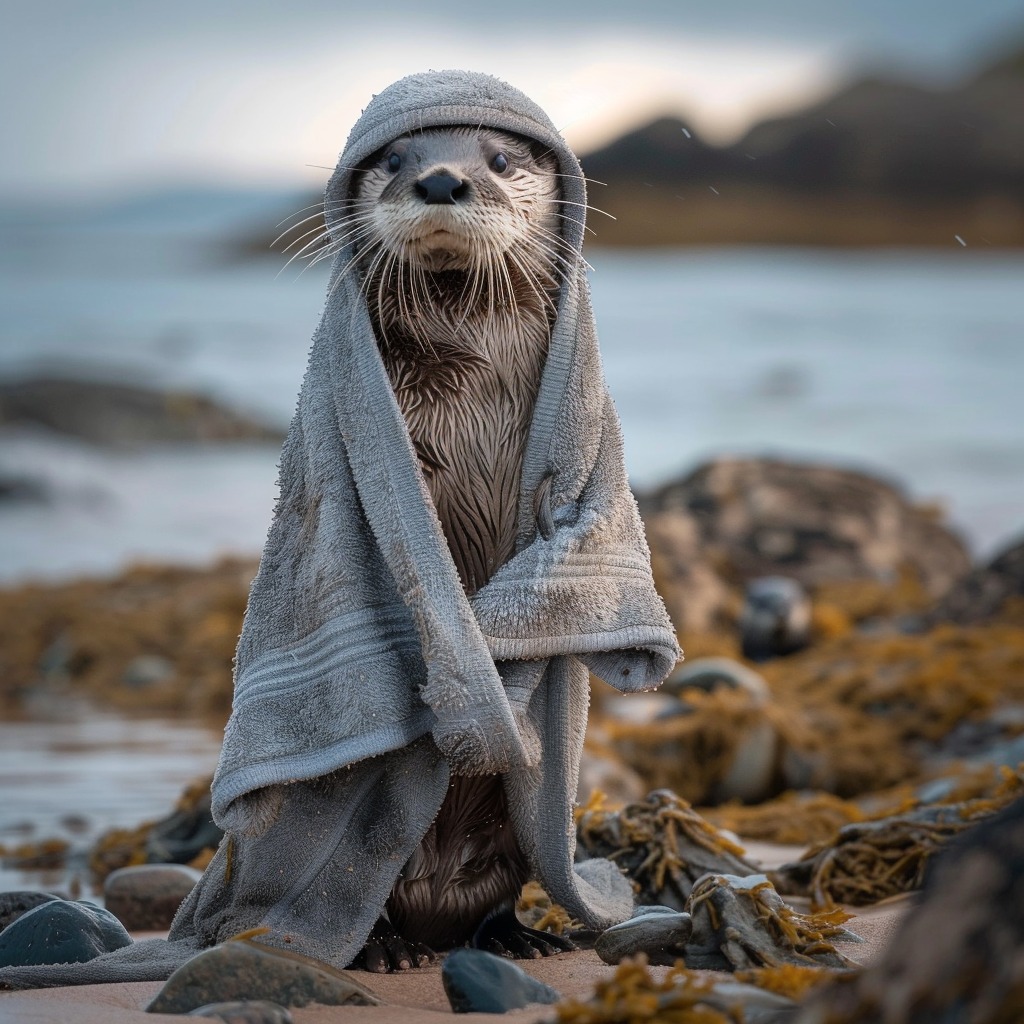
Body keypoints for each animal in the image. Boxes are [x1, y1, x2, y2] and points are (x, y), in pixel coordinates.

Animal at [339, 126, 573, 971]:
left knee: (498, 888)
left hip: (516, 827)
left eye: (500, 160)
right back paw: (382, 948)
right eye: (393, 159)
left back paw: (517, 936)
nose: (441, 179)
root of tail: (433, 899)